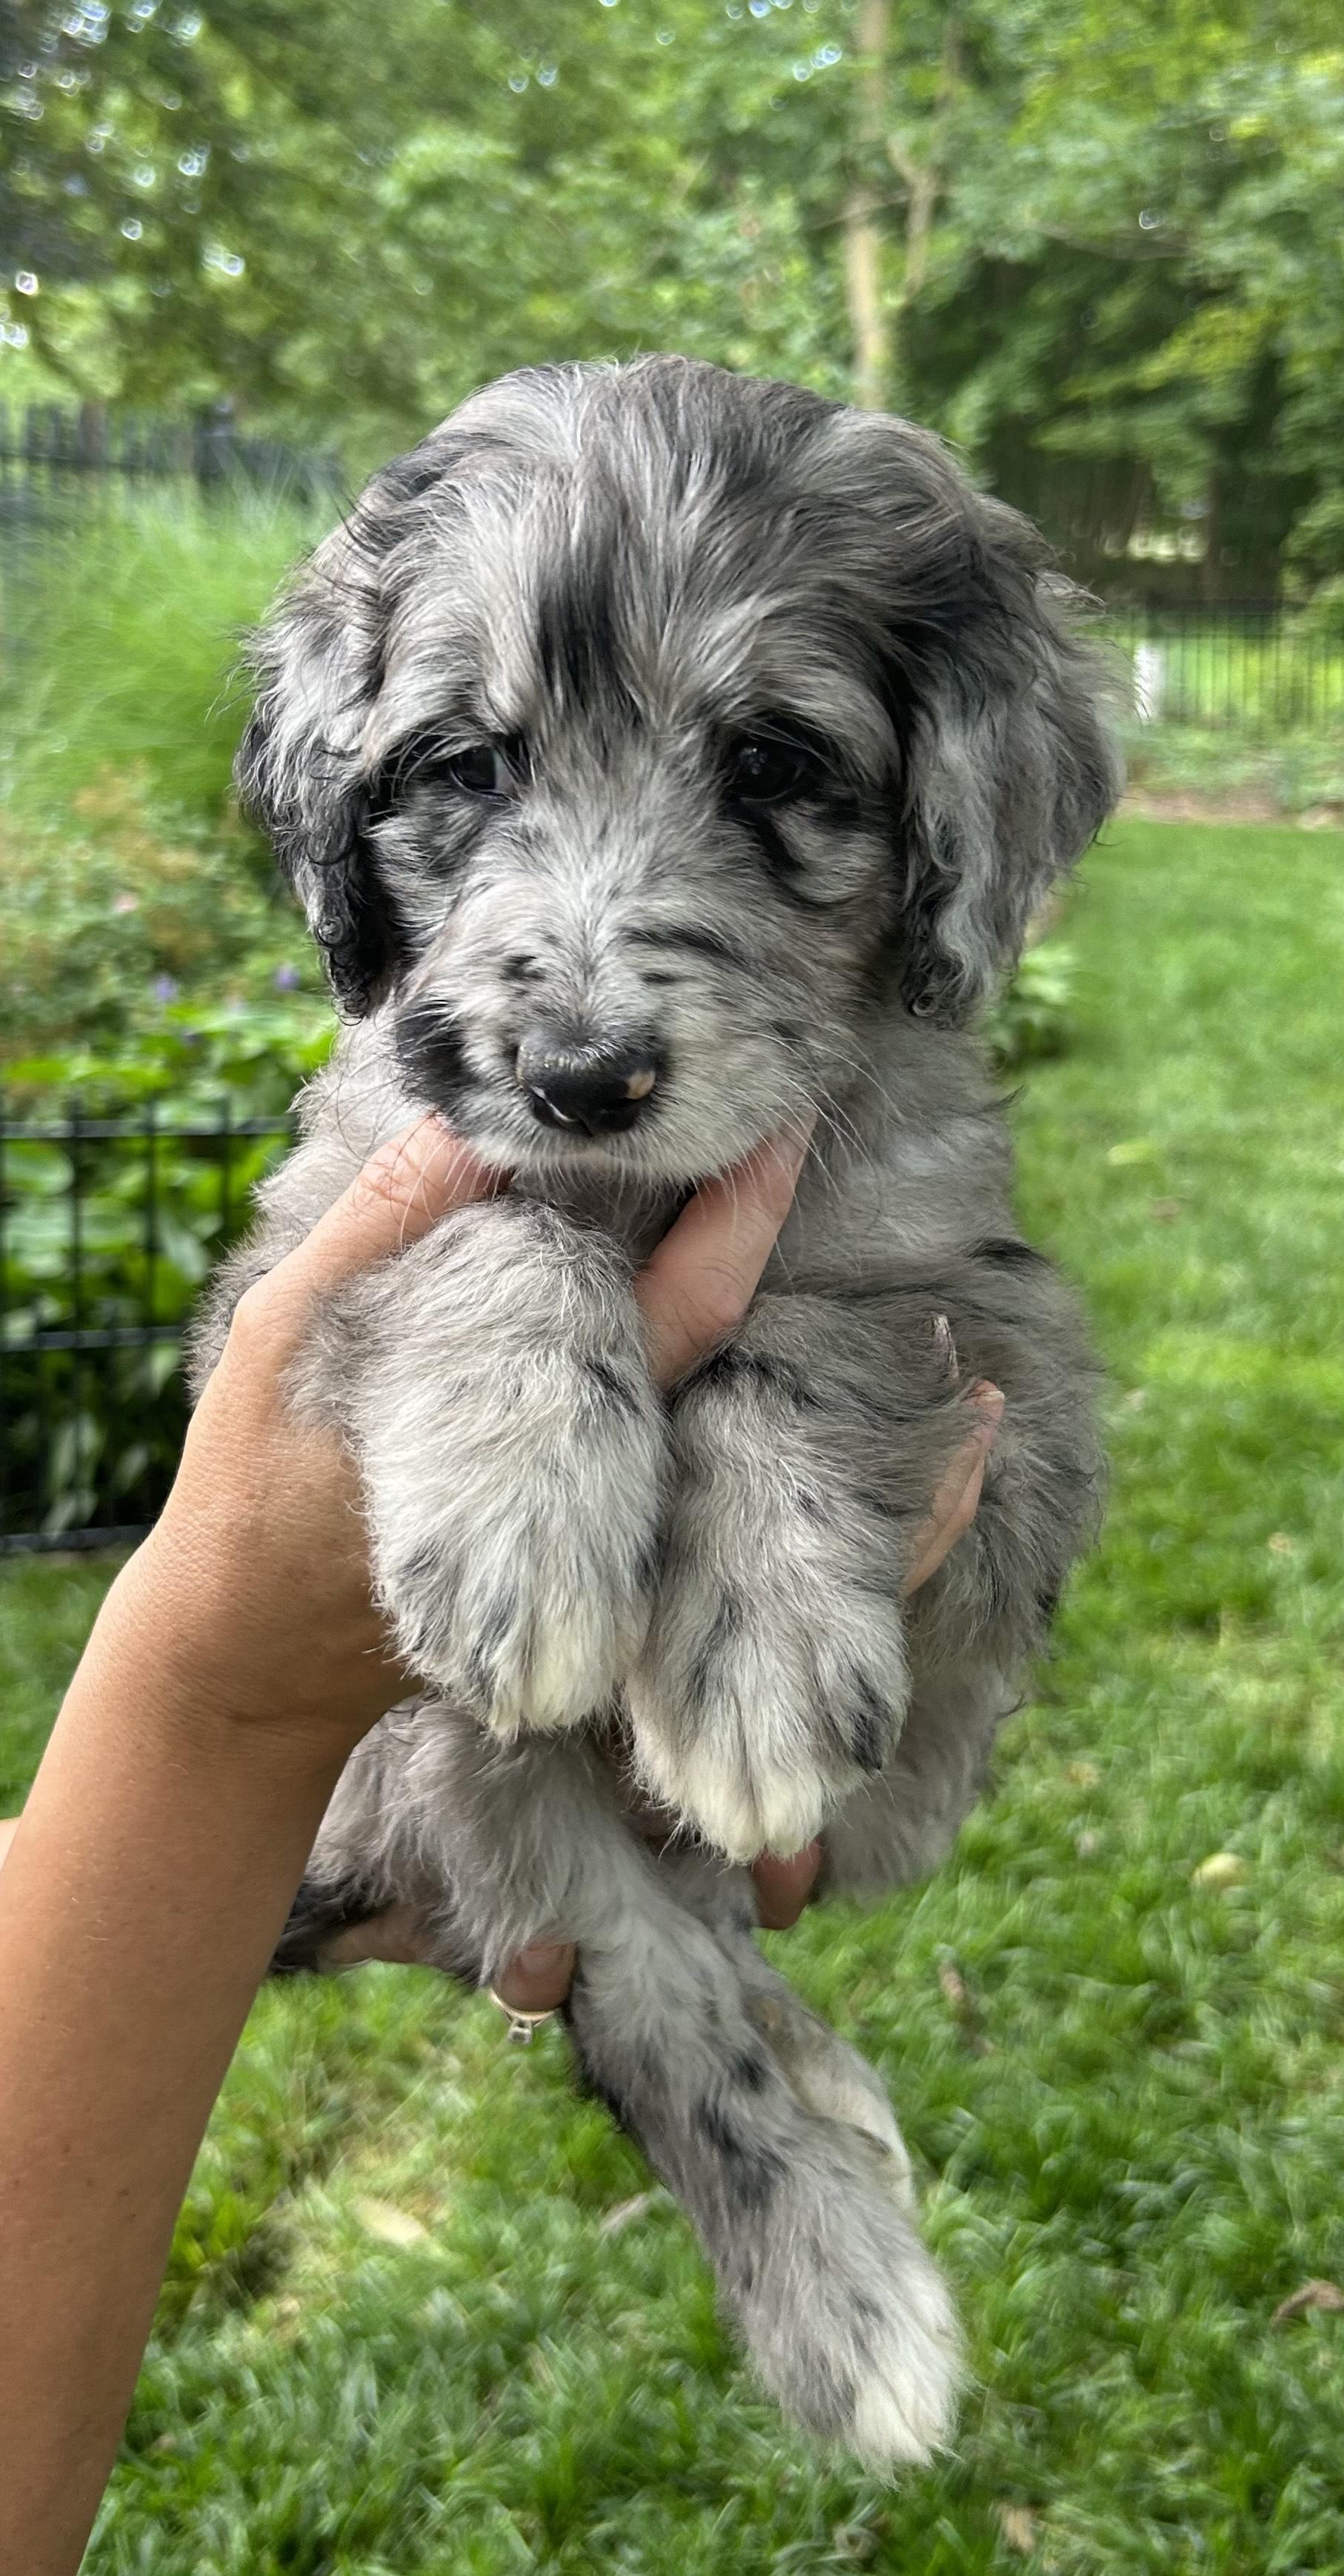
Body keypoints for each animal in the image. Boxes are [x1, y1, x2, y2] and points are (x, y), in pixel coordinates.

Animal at [194, 355, 1120, 2465]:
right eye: (460, 767)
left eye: (773, 763)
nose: (585, 1073)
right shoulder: (302, 1246)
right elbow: (495, 1223)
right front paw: (528, 1509)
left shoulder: (1007, 1340)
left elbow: (808, 1345)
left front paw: (756, 1640)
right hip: (467, 1780)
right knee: (664, 2002)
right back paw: (845, 2292)